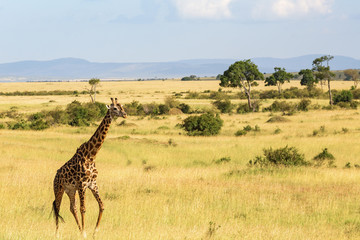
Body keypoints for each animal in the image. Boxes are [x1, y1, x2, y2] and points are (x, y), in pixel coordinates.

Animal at [52, 96, 126, 237]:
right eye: (114, 108)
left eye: (122, 106)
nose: (125, 114)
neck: (91, 155)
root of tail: (55, 175)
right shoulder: (82, 184)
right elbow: (83, 209)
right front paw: (85, 234)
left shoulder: (93, 184)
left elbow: (101, 205)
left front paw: (94, 232)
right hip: (59, 189)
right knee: (57, 207)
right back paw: (57, 233)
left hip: (70, 190)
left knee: (72, 207)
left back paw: (78, 229)